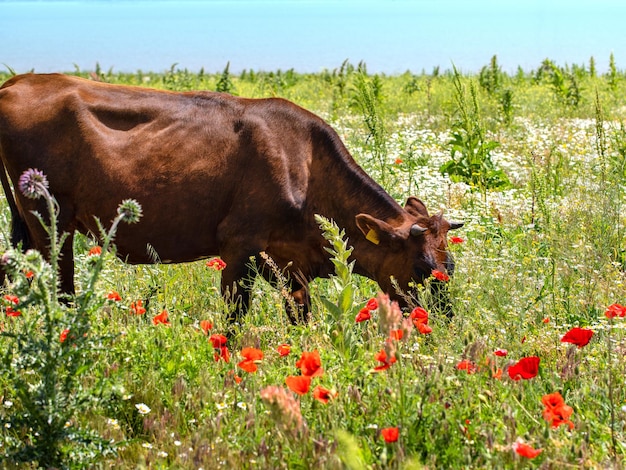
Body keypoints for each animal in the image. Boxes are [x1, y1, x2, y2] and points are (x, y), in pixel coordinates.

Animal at [0, 73, 458, 324]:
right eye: (422, 268)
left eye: (450, 264)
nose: (445, 322)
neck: (305, 166)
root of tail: (20, 81)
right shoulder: (239, 249)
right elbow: (234, 321)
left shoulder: (292, 263)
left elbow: (299, 318)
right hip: (48, 223)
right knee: (59, 288)